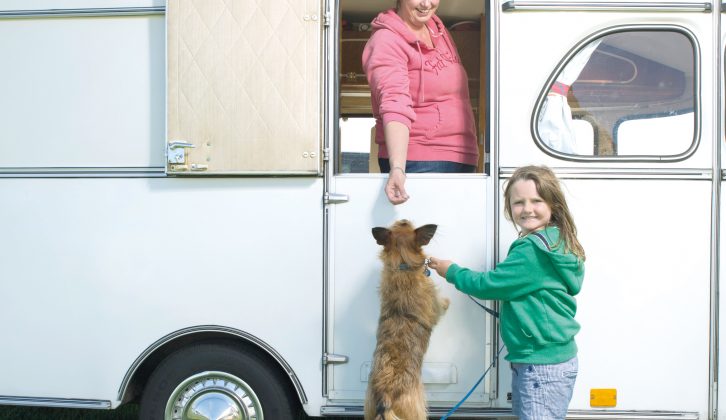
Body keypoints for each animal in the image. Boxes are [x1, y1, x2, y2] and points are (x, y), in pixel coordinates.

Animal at [366, 221, 452, 418]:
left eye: (402, 223)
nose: (403, 218)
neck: (402, 264)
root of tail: (385, 397)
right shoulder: (434, 303)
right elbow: (441, 305)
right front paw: (448, 302)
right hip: (416, 409)